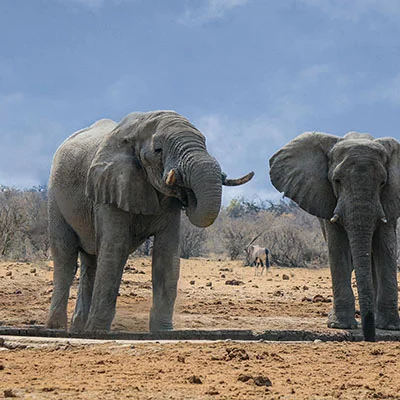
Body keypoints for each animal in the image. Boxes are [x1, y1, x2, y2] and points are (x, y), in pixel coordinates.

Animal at [46, 111, 253, 332]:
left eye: (205, 143)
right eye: (158, 150)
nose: (187, 193)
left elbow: (166, 253)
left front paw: (163, 331)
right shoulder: (109, 188)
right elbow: (115, 248)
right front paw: (98, 331)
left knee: (90, 262)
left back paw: (78, 329)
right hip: (55, 198)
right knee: (66, 257)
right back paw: (58, 328)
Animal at [268, 130, 400, 340]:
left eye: (382, 183)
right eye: (337, 181)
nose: (369, 338)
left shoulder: (390, 198)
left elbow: (385, 248)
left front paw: (390, 327)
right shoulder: (327, 199)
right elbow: (338, 249)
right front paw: (340, 326)